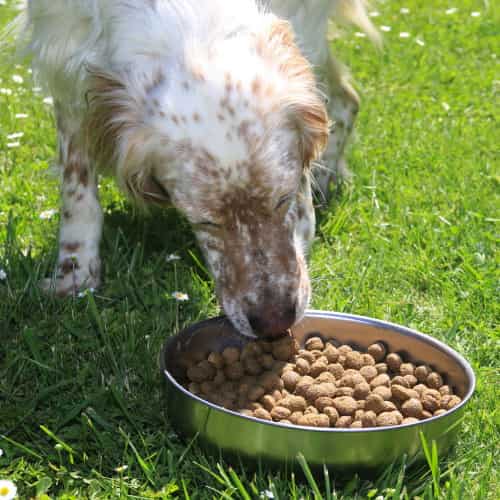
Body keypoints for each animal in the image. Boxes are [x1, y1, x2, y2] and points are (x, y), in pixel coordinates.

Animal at [13, 1, 376, 338]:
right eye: (205, 221)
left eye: (283, 199)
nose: (273, 321)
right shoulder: (64, 53)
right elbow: (77, 187)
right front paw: (74, 273)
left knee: (346, 98)